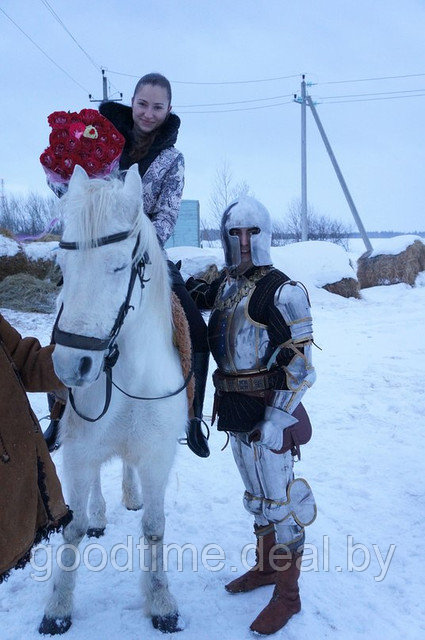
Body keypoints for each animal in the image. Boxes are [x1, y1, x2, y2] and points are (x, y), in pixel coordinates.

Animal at [38, 165, 187, 636]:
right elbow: (73, 527)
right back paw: (103, 513)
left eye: (119, 264)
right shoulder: (78, 453)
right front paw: (58, 607)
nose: (71, 365)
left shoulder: (157, 455)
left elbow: (154, 526)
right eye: (62, 267)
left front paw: (161, 603)